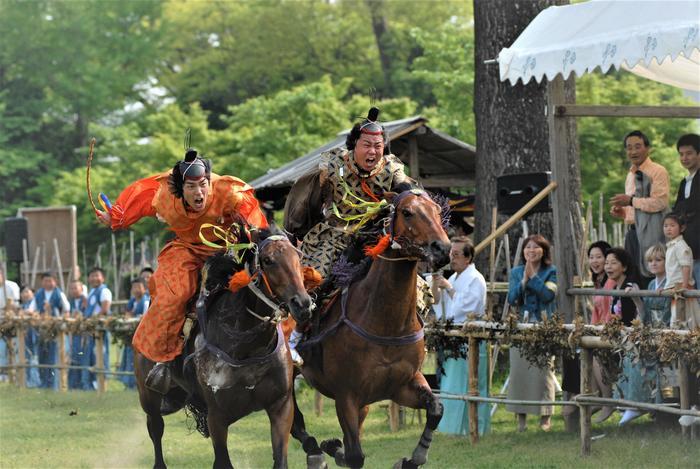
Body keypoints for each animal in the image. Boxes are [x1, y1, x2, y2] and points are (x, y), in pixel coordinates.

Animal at [133, 227, 312, 468]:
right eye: (268, 260)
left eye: (298, 257)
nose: (302, 304)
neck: (248, 346)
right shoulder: (217, 417)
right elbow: (223, 460)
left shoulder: (281, 406)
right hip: (149, 398)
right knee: (156, 429)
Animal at [292, 187, 452, 468]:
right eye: (407, 212)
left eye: (436, 209)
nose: (442, 248)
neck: (386, 324)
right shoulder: (346, 395)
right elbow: (356, 455)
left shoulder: (402, 384)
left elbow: (436, 409)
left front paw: (412, 458)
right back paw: (315, 451)